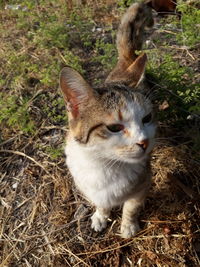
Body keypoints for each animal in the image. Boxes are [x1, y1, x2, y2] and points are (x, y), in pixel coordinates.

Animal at [59, 1, 156, 238]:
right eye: (113, 127)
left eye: (147, 118)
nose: (144, 142)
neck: (105, 165)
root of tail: (125, 66)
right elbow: (101, 202)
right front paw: (101, 215)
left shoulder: (144, 181)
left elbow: (132, 206)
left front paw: (128, 225)